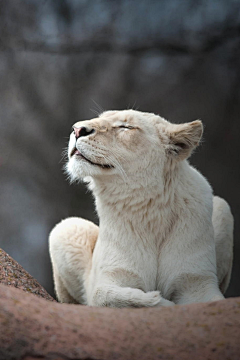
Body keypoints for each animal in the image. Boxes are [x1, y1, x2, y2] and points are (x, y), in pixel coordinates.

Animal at [47, 109, 233, 306]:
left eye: (126, 126)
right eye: (100, 117)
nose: (77, 129)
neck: (150, 210)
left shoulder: (197, 281)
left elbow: (216, 301)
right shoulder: (111, 278)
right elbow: (111, 297)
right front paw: (160, 300)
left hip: (223, 209)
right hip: (67, 227)